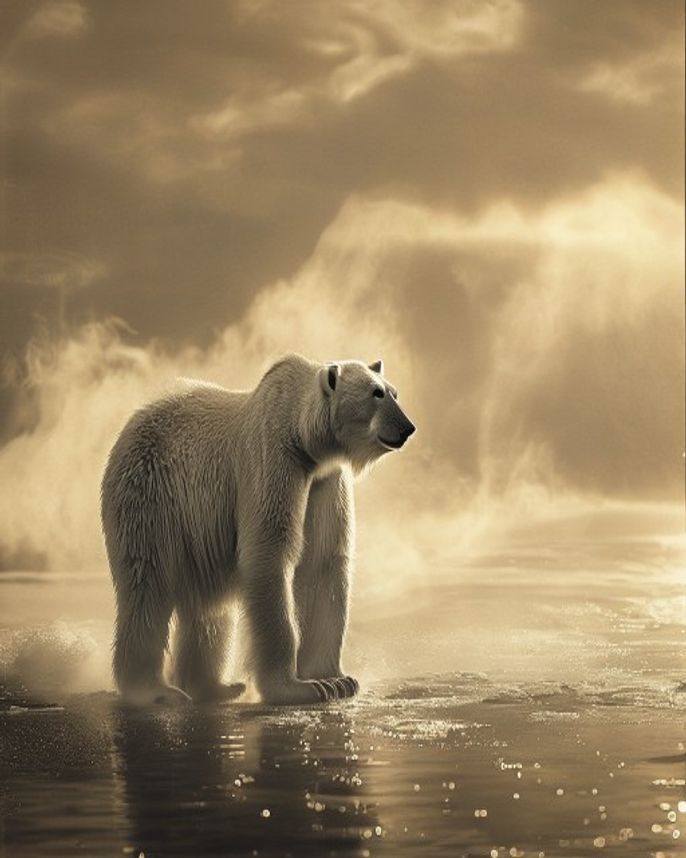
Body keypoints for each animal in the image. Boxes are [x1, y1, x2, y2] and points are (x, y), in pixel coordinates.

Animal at [101, 354, 415, 706]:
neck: (302, 436)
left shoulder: (325, 480)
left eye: (394, 392)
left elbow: (324, 563)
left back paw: (215, 686)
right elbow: (268, 554)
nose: (407, 428)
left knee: (209, 607)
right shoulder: (273, 461)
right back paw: (155, 691)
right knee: (147, 582)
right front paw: (298, 687)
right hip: (150, 494)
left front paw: (337, 681)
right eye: (376, 393)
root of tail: (130, 424)